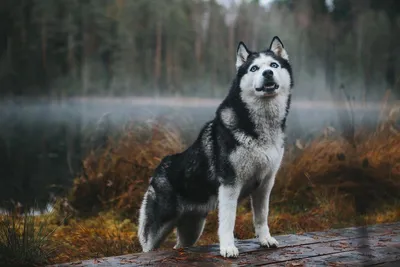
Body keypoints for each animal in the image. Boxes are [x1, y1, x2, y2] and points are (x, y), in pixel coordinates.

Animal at [138, 36, 294, 258]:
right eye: (254, 68)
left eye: (273, 65)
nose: (267, 73)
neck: (262, 127)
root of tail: (161, 166)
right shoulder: (230, 185)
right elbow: (228, 222)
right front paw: (228, 247)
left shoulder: (265, 184)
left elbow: (261, 217)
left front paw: (265, 239)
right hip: (155, 231)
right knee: (147, 247)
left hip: (192, 230)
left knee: (180, 246)